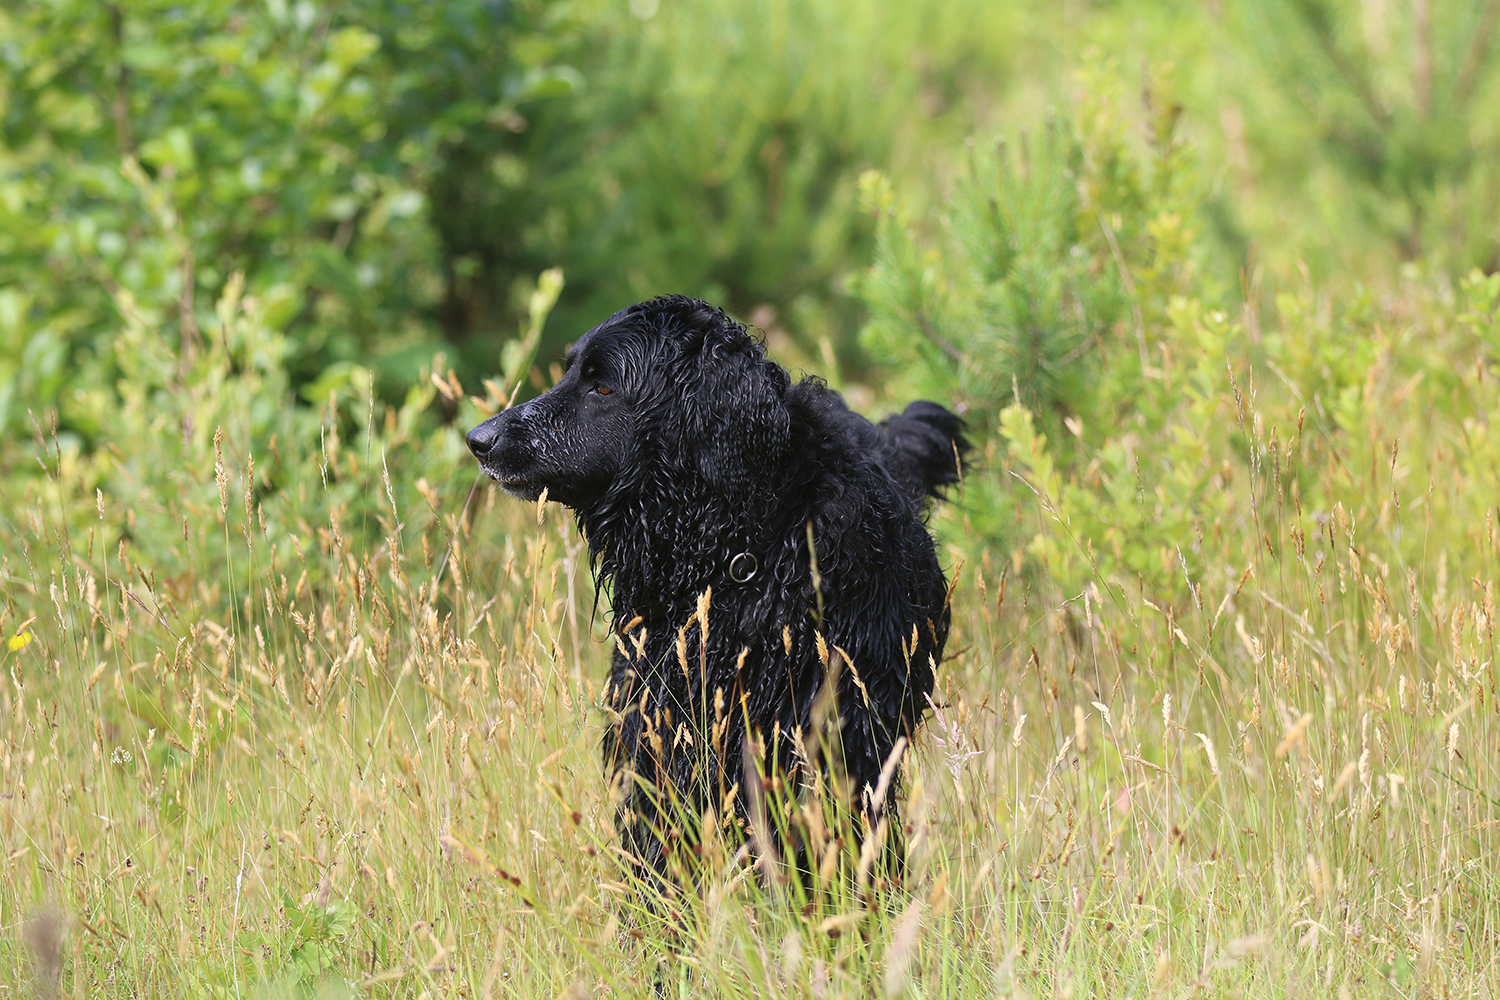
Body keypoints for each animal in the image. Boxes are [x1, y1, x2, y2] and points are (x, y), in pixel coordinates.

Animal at [466, 296, 968, 886]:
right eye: (570, 371)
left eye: (603, 386)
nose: (479, 439)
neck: (737, 543)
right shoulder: (661, 725)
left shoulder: (840, 736)